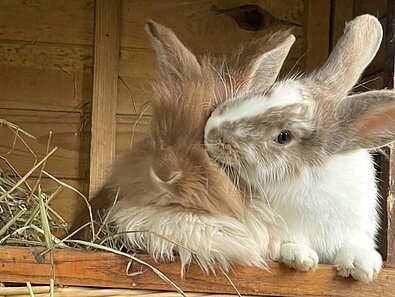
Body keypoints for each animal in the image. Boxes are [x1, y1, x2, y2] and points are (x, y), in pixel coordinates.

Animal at [204, 13, 395, 280]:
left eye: (283, 137)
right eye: (268, 91)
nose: (210, 132)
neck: (308, 180)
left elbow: (355, 246)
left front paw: (360, 265)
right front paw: (300, 256)